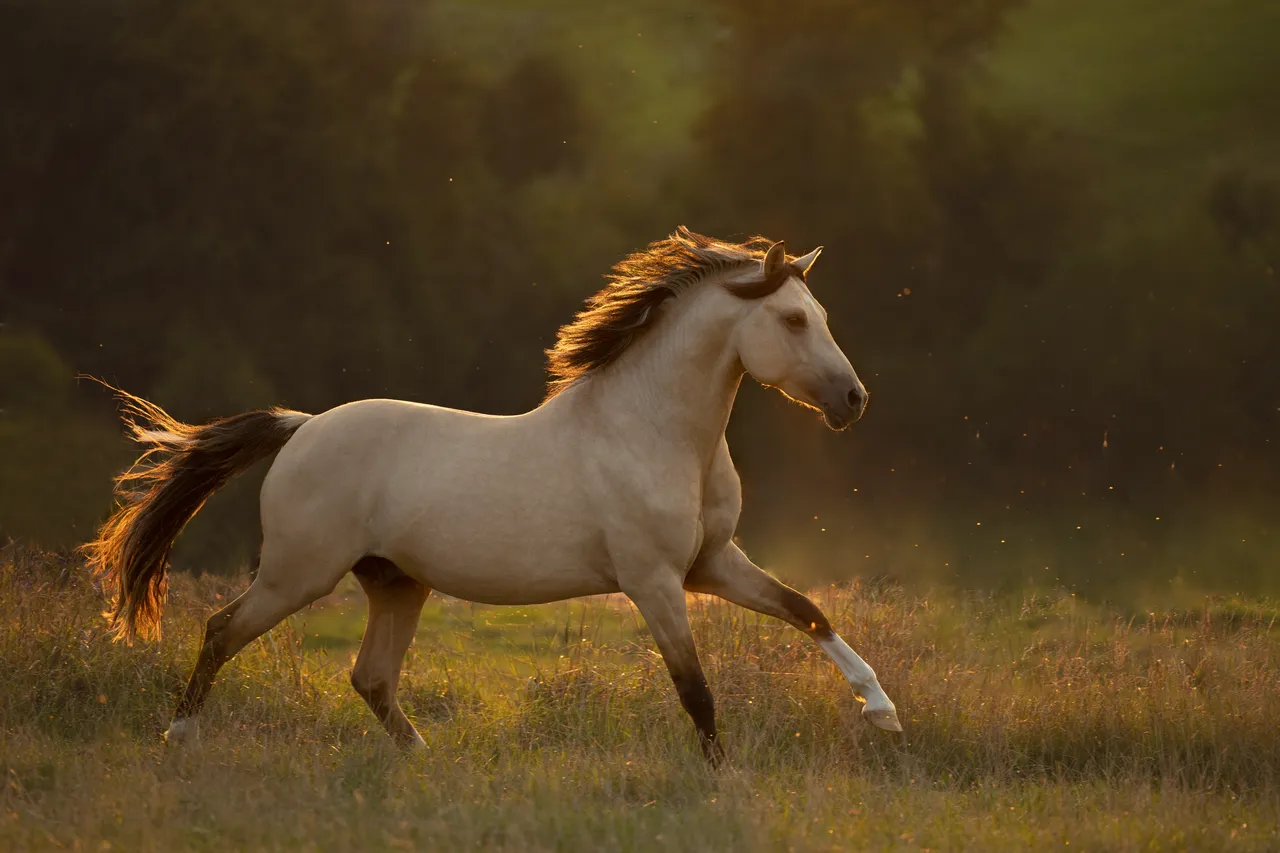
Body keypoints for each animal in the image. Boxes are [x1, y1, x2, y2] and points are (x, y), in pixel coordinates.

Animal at [83, 227, 902, 762]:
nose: (854, 399)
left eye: (821, 317)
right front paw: (721, 778)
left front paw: (883, 711)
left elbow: (807, 609)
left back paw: (427, 762)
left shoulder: (713, 565)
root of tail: (302, 427)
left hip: (396, 583)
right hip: (297, 574)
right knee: (223, 629)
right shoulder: (654, 581)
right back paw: (178, 737)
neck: (654, 432)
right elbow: (694, 685)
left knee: (370, 676)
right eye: (792, 319)